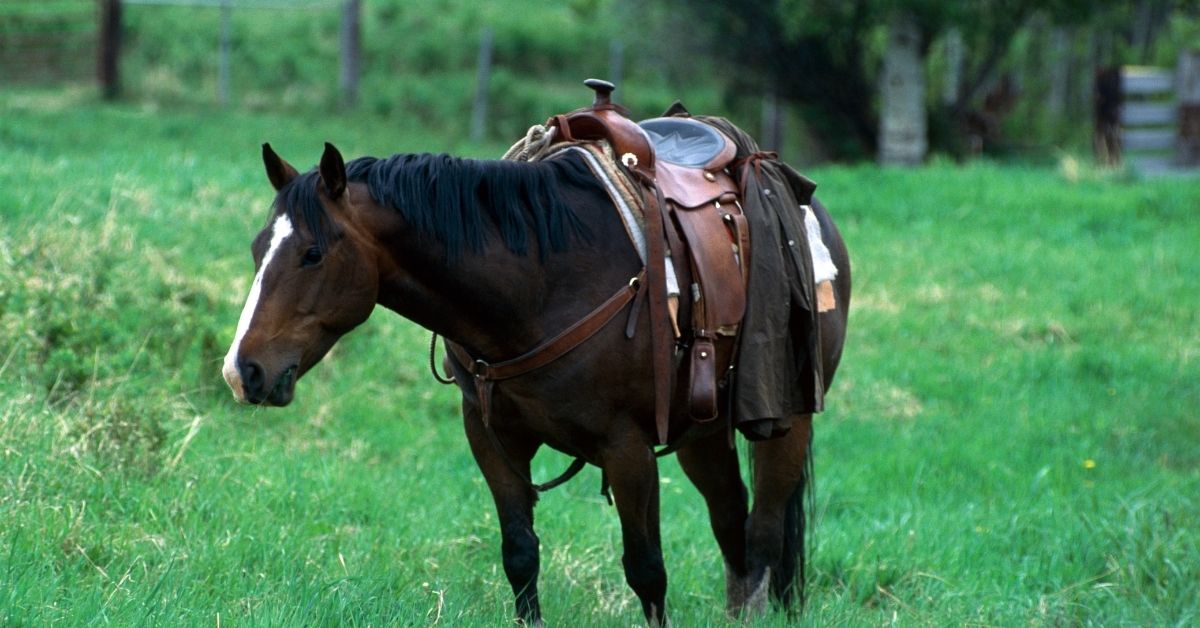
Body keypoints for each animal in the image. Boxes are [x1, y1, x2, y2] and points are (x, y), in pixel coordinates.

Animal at [220, 137, 849, 624]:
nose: (242, 370)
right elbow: (520, 554)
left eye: (312, 253)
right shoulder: (492, 438)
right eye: (256, 248)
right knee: (732, 525)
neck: (540, 285)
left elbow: (647, 570)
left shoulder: (627, 450)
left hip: (784, 419)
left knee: (763, 535)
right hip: (703, 433)